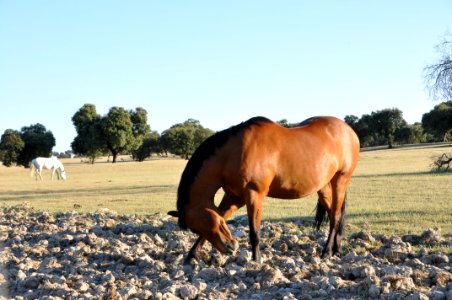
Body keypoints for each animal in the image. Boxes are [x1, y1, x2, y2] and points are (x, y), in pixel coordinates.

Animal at [169, 116, 360, 264]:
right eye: (195, 230)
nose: (230, 247)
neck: (233, 153)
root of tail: (349, 130)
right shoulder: (234, 197)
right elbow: (221, 216)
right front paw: (191, 255)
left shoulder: (254, 195)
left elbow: (255, 232)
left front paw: (257, 260)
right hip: (324, 188)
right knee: (336, 216)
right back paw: (337, 250)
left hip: (340, 181)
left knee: (335, 218)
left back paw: (327, 252)